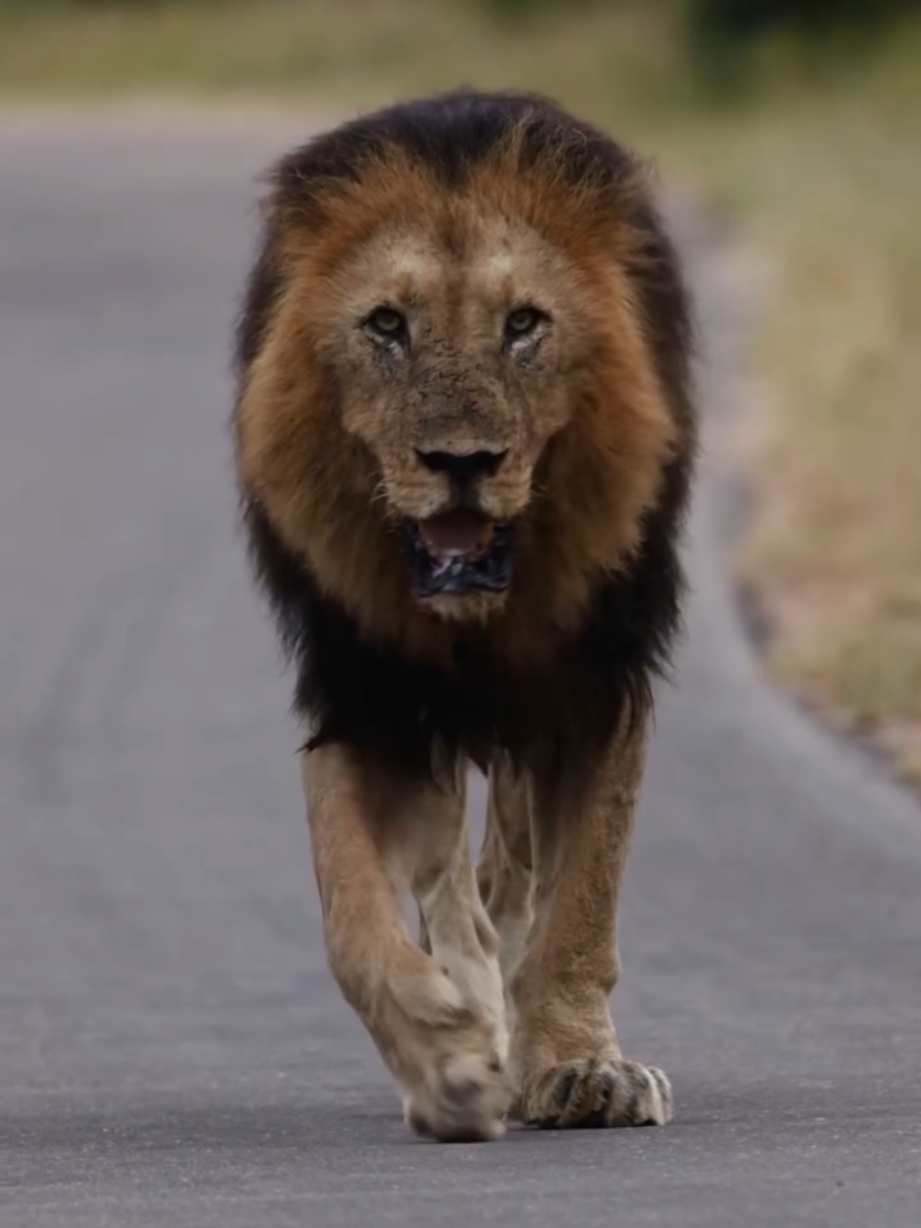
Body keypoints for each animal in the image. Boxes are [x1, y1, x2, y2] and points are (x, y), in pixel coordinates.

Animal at [232, 89, 696, 1142]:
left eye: (523, 324)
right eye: (385, 324)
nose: (461, 461)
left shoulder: (598, 679)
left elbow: (582, 902)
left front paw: (576, 1067)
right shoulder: (360, 694)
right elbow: (351, 913)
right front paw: (444, 1061)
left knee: (512, 870)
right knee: (451, 879)